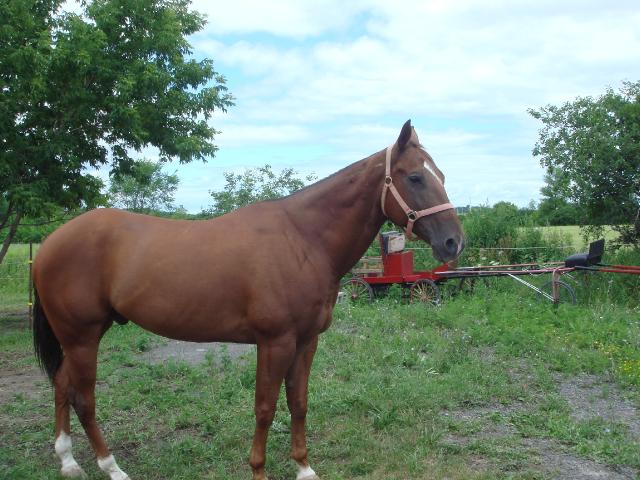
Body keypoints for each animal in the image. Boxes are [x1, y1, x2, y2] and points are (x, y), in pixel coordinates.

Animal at [32, 120, 464, 480]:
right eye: (414, 177)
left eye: (442, 175)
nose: (454, 242)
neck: (303, 239)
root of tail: (50, 243)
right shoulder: (275, 342)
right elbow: (265, 408)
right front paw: (259, 470)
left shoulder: (306, 341)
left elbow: (298, 402)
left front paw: (304, 468)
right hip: (82, 336)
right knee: (83, 398)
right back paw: (112, 468)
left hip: (85, 335)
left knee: (61, 384)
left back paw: (68, 461)